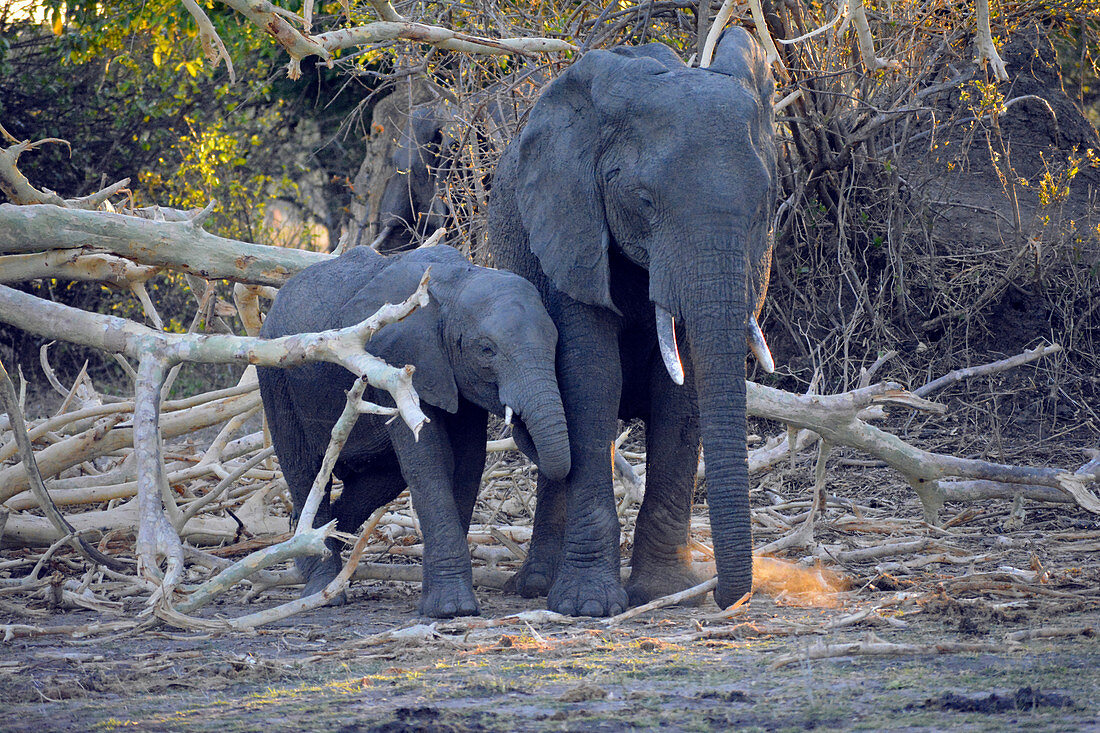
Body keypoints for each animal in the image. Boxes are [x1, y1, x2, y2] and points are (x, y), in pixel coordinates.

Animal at [257, 245, 567, 616]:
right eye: (486, 350)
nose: (519, 419)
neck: (458, 280)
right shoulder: (393, 362)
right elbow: (429, 462)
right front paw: (451, 609)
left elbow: (467, 463)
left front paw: (442, 602)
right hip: (277, 379)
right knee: (304, 469)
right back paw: (321, 589)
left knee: (382, 479)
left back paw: (317, 552)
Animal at [486, 25, 778, 611]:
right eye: (644, 200)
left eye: (764, 205)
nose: (727, 598)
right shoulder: (570, 229)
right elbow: (590, 381)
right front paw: (588, 606)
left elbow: (683, 396)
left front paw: (666, 592)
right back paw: (535, 588)